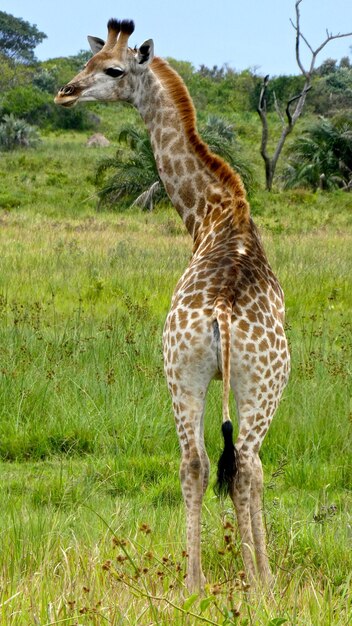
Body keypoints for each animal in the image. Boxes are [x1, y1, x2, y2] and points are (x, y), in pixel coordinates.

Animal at [55, 18, 292, 588]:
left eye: (112, 70)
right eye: (89, 61)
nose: (65, 91)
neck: (214, 213)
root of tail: (222, 316)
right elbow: (253, 471)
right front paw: (262, 576)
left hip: (181, 373)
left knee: (197, 462)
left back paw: (195, 580)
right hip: (257, 383)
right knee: (245, 464)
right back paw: (255, 583)